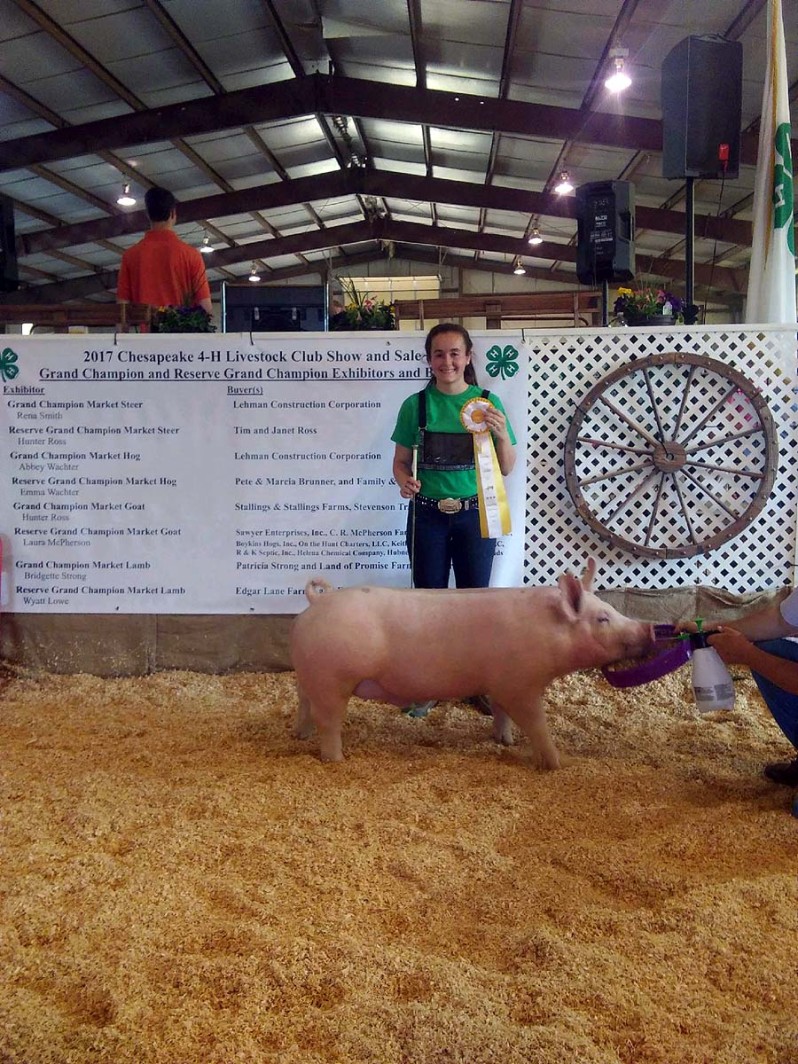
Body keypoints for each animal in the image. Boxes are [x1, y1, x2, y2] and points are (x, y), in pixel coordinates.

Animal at [289, 561, 655, 770]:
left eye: (611, 609)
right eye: (603, 618)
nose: (649, 629)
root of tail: (318, 601)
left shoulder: (499, 683)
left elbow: (502, 713)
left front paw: (505, 742)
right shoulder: (520, 684)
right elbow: (536, 723)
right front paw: (557, 763)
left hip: (310, 675)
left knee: (304, 703)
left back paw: (300, 735)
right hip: (332, 679)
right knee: (329, 721)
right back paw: (336, 759)